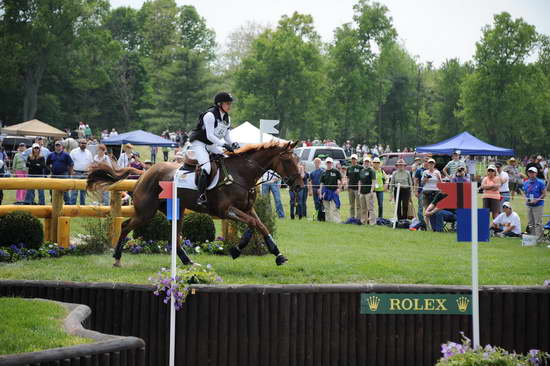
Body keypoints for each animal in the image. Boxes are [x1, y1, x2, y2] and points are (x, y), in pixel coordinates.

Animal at [87, 142, 304, 268]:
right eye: (287, 159)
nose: (300, 185)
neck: (241, 174)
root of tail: (143, 173)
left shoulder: (247, 208)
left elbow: (259, 225)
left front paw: (276, 254)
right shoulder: (226, 210)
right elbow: (254, 224)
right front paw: (238, 249)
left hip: (177, 210)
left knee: (174, 236)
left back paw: (187, 261)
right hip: (146, 212)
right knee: (125, 226)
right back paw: (116, 258)